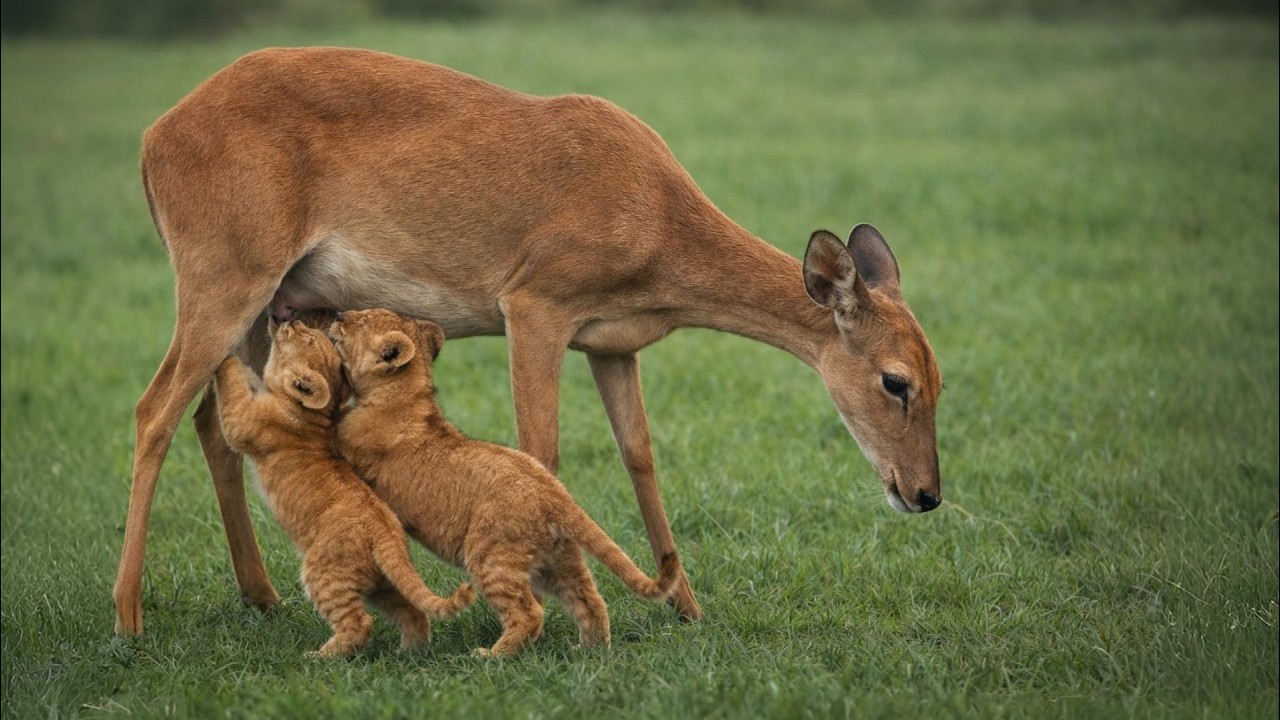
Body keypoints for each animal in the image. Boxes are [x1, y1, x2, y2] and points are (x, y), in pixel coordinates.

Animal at [114, 46, 943, 636]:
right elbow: (541, 452)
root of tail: (151, 141)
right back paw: (129, 619)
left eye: (941, 381)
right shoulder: (536, 302)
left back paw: (261, 596)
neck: (656, 218)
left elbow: (640, 455)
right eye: (894, 380)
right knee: (154, 411)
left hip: (272, 306)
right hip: (224, 274)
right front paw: (554, 609)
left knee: (215, 420)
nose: (925, 495)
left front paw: (687, 606)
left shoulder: (613, 342)